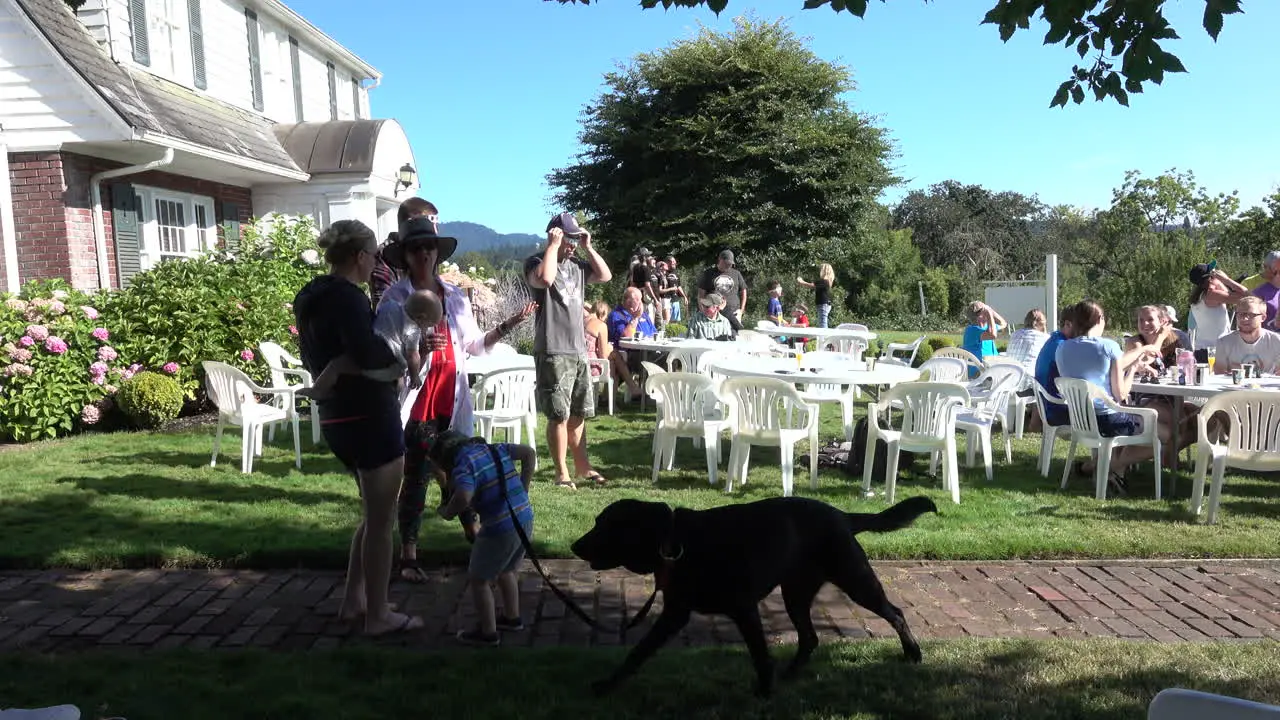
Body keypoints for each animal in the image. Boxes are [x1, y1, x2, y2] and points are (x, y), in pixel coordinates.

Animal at [573, 491, 942, 696]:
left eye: (605, 526)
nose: (575, 546)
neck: (677, 542)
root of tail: (842, 515)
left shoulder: (743, 609)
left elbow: (760, 656)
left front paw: (764, 692)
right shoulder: (674, 614)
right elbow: (637, 654)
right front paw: (607, 685)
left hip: (856, 580)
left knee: (896, 612)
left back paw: (913, 652)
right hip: (796, 594)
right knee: (810, 638)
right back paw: (791, 675)